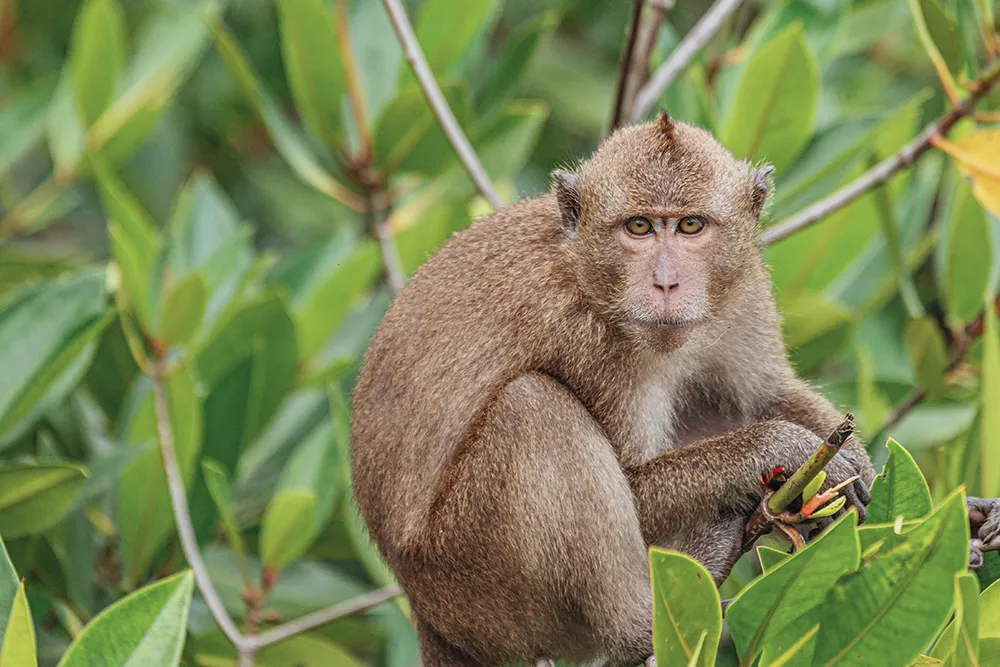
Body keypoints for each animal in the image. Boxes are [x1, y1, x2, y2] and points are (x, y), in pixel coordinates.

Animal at [350, 112, 876, 667]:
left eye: (691, 225)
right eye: (638, 227)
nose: (665, 283)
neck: (585, 268)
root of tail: (427, 613)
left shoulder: (745, 287)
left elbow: (761, 393)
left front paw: (852, 460)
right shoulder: (583, 337)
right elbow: (635, 485)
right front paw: (780, 447)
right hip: (474, 581)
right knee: (532, 405)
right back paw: (644, 624)